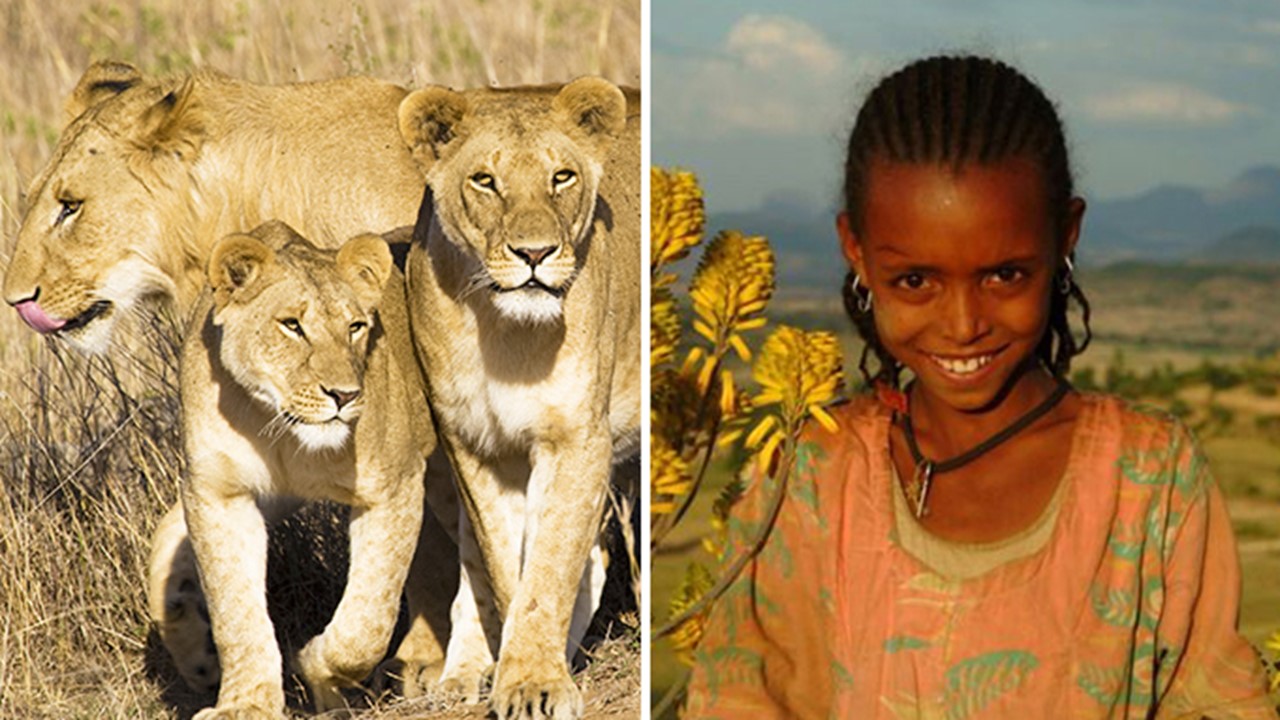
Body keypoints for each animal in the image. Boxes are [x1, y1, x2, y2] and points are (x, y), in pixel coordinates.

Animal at [179, 220, 433, 717]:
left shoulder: (394, 485)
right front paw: (246, 703)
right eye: (292, 325)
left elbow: (367, 621)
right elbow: (233, 611)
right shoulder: (217, 493)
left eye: (355, 326)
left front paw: (318, 667)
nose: (345, 395)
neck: (279, 428)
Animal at [397, 77, 640, 718]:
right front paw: (517, 672)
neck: (504, 332)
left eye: (562, 177)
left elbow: (549, 565)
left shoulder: (577, 439)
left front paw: (535, 683)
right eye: (485, 180)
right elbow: (507, 566)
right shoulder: (476, 447)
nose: (535, 254)